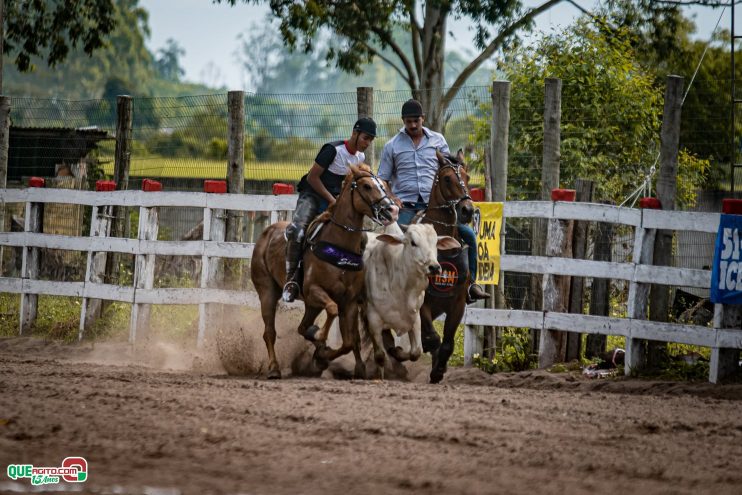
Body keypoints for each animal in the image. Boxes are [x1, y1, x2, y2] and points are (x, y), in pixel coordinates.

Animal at [251, 166, 402, 380]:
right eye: (366, 186)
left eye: (384, 184)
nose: (392, 210)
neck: (339, 245)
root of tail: (267, 233)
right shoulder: (315, 290)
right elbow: (332, 310)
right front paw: (320, 340)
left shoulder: (349, 301)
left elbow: (349, 341)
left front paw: (322, 355)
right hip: (267, 291)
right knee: (269, 332)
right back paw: (274, 368)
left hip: (311, 305)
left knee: (302, 327)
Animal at [364, 223, 462, 378]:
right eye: (413, 243)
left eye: (435, 243)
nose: (434, 267)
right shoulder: (373, 319)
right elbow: (379, 356)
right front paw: (380, 377)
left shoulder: (415, 317)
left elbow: (415, 352)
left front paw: (396, 351)